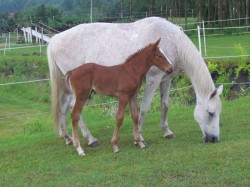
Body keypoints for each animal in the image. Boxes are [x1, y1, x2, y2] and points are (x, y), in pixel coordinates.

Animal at [46, 16, 223, 147]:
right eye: (211, 113)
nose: (214, 139)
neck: (171, 40)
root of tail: (55, 38)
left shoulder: (166, 79)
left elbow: (164, 105)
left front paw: (167, 131)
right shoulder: (153, 79)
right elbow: (143, 108)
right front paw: (139, 137)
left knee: (63, 107)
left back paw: (68, 138)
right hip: (81, 91)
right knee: (74, 109)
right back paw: (90, 139)